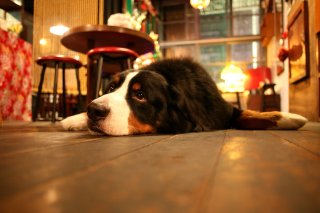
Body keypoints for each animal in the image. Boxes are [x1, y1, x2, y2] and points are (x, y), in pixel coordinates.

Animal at [60, 57, 308, 136]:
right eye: (111, 88)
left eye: (140, 95)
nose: (94, 110)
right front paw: (74, 118)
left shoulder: (222, 109)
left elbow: (249, 114)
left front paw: (288, 117)